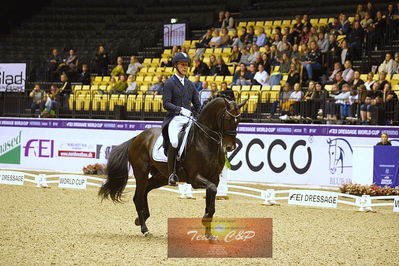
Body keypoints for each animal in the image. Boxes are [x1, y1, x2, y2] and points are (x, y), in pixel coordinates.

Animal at [98, 96, 247, 236]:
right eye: (227, 117)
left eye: (239, 119)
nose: (230, 147)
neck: (205, 141)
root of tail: (137, 137)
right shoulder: (195, 178)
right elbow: (212, 190)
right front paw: (206, 221)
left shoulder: (214, 178)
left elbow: (211, 201)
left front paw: (209, 235)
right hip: (141, 173)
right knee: (138, 197)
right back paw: (144, 228)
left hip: (161, 177)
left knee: (145, 190)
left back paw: (142, 218)